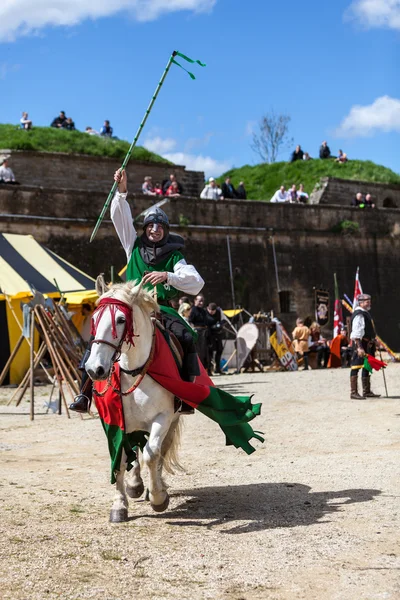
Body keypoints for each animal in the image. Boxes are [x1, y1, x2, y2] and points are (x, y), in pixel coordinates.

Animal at [87, 282, 183, 520]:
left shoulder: (163, 417)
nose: (95, 369)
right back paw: (136, 484)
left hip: (172, 421)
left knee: (158, 451)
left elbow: (152, 454)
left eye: (121, 319)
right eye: (94, 319)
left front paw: (158, 497)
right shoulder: (114, 421)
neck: (132, 371)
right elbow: (119, 459)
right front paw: (120, 504)